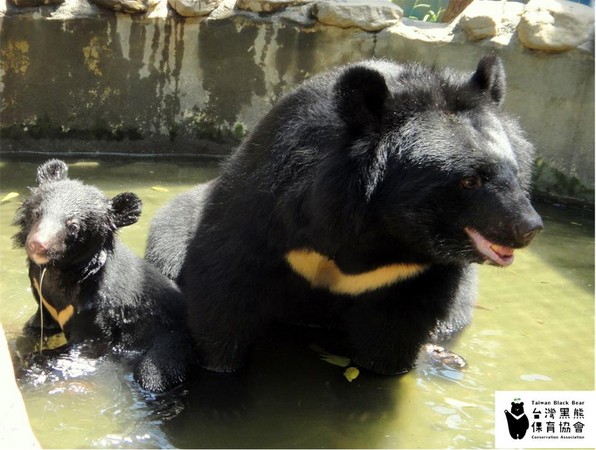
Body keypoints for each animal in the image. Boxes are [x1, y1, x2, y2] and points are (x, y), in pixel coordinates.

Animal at [12, 160, 193, 392]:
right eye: (37, 214)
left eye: (73, 226)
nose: (38, 245)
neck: (62, 272)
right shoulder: (45, 302)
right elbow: (36, 327)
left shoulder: (99, 311)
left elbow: (85, 346)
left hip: (169, 342)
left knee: (151, 375)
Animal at [147, 55, 544, 372]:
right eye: (469, 180)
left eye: (514, 171)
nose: (528, 227)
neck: (382, 229)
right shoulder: (265, 218)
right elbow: (225, 295)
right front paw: (219, 367)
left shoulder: (413, 275)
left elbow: (394, 334)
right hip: (172, 229)